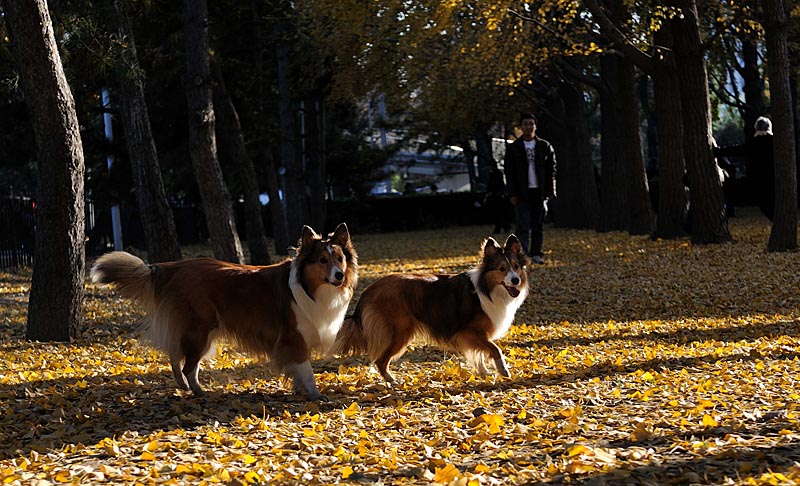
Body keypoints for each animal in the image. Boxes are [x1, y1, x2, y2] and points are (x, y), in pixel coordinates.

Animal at [88, 224, 360, 398]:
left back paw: (184, 386)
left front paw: (299, 390)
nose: (339, 276)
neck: (309, 287)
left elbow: (297, 371)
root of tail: (173, 268)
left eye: (340, 259)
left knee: (175, 354)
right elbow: (306, 369)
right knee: (187, 364)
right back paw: (198, 391)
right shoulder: (294, 338)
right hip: (200, 329)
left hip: (199, 331)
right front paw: (314, 394)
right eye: (322, 260)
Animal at [332, 234, 528, 384]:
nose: (516, 280)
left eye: (516, 267)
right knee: (380, 361)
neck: (486, 289)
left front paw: (484, 372)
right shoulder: (468, 332)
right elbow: (495, 349)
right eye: (502, 268)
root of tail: (369, 289)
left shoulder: (473, 337)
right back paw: (393, 382)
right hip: (400, 333)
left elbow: (478, 355)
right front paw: (503, 371)